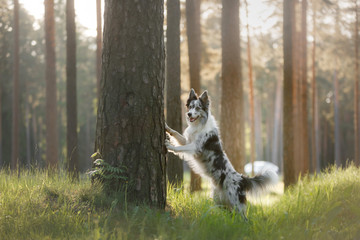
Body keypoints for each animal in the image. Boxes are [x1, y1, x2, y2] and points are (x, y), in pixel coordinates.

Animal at [166, 88, 278, 219]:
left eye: (198, 108)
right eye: (190, 107)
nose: (189, 114)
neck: (200, 125)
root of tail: (241, 179)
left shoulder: (195, 147)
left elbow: (180, 148)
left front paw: (169, 146)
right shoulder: (187, 141)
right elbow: (176, 134)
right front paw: (166, 127)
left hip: (236, 203)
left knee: (244, 218)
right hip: (220, 201)